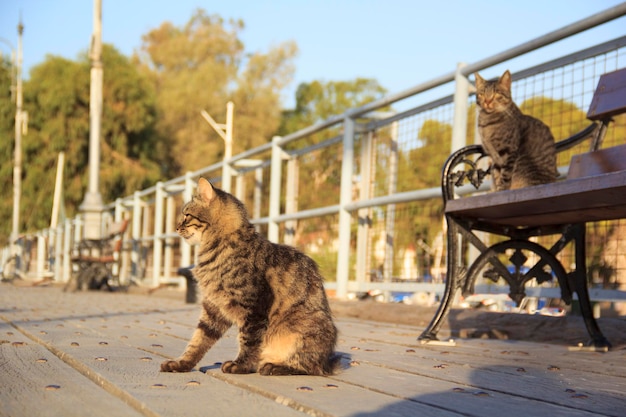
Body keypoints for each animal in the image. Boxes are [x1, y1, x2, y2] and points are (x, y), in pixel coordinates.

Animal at [160, 177, 336, 376]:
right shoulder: (213, 308)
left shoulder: (254, 308)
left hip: (299, 332)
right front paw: (181, 363)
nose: (176, 228)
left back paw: (274, 366)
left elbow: (249, 341)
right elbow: (197, 342)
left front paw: (240, 365)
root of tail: (328, 362)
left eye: (186, 215)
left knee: (309, 367)